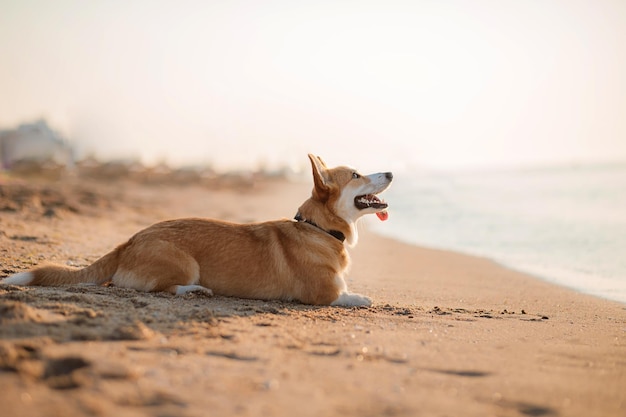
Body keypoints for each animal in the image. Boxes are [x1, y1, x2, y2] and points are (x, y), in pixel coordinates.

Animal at [2, 154, 390, 304]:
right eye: (356, 175)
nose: (389, 172)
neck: (319, 229)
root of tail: (128, 241)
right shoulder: (324, 294)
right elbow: (356, 297)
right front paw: (364, 298)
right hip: (184, 262)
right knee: (161, 288)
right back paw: (195, 290)